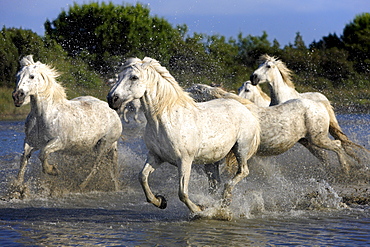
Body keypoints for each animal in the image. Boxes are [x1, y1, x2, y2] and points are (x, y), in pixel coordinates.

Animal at [10, 55, 121, 197]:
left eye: (32, 76)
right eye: (17, 76)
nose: (17, 96)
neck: (43, 116)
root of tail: (113, 111)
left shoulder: (59, 142)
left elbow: (43, 154)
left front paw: (53, 170)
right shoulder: (30, 142)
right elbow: (23, 160)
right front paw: (18, 188)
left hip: (103, 145)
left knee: (95, 166)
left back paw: (80, 186)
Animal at [107, 57, 260, 213]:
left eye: (134, 77)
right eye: (119, 77)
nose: (111, 99)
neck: (165, 120)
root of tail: (243, 107)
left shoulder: (184, 161)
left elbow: (182, 193)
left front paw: (198, 209)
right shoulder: (156, 156)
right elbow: (142, 177)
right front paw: (160, 201)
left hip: (241, 149)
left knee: (242, 172)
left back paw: (225, 199)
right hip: (211, 160)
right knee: (215, 183)